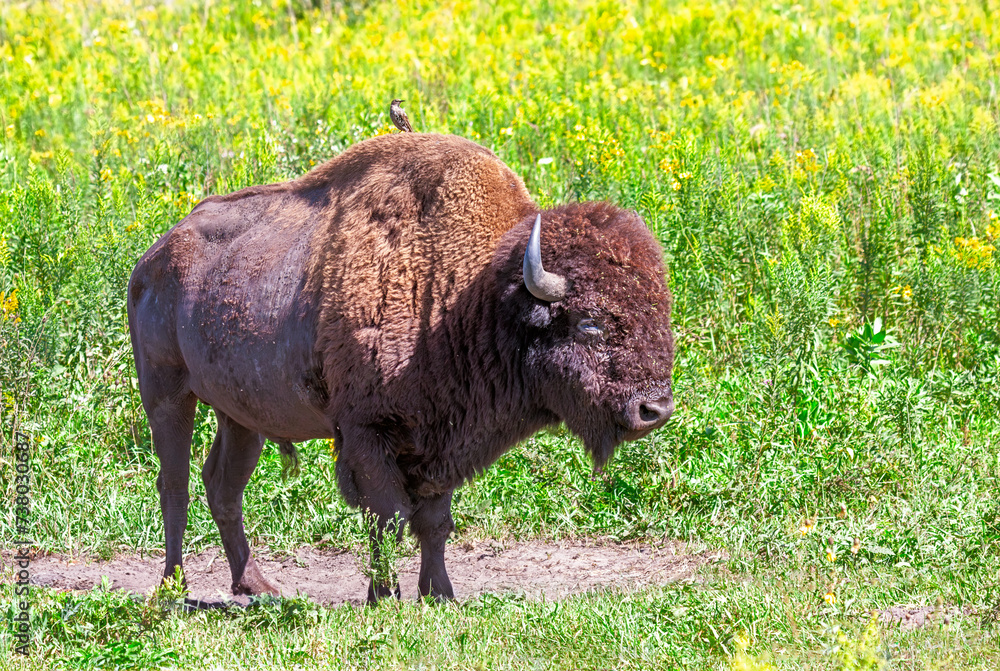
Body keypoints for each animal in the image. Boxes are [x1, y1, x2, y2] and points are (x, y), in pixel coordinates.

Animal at [125, 133, 672, 604]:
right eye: (589, 322)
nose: (655, 410)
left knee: (223, 485)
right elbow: (387, 517)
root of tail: (154, 257)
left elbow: (434, 520)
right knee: (175, 484)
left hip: (241, 417)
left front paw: (440, 595)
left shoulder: (443, 435)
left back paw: (258, 586)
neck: (471, 295)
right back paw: (173, 586)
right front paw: (384, 597)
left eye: (660, 310)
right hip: (167, 394)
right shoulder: (367, 432)